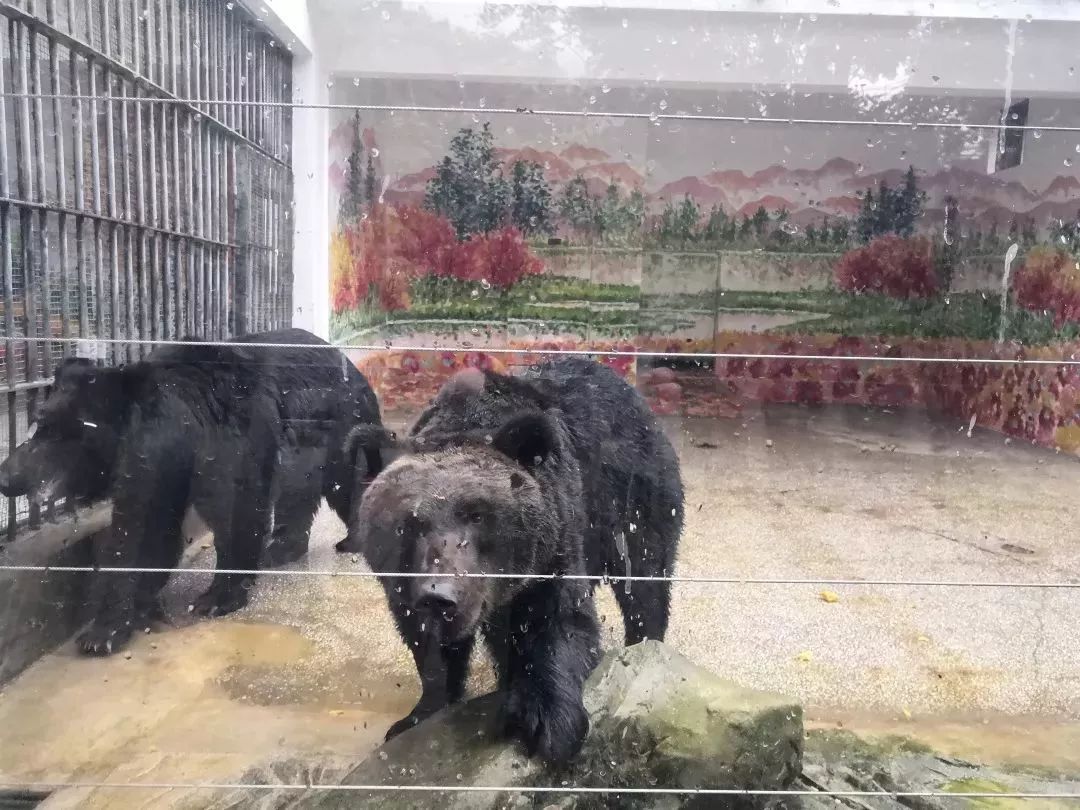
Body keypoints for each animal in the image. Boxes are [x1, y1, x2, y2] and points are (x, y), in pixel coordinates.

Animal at [0, 328, 385, 655]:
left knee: (348, 482)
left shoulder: (222, 443)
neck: (175, 426)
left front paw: (214, 598)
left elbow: (233, 510)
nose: (6, 476)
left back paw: (354, 539)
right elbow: (147, 526)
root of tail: (355, 368)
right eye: (37, 423)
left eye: (49, 430)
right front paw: (129, 611)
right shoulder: (162, 468)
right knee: (298, 495)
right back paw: (280, 549)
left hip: (340, 426)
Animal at [339, 356, 684, 764]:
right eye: (408, 522)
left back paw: (644, 648)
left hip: (631, 497)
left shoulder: (553, 546)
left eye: (477, 515)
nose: (440, 596)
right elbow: (427, 644)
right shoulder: (405, 587)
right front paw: (417, 716)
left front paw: (548, 720)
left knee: (645, 582)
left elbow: (557, 620)